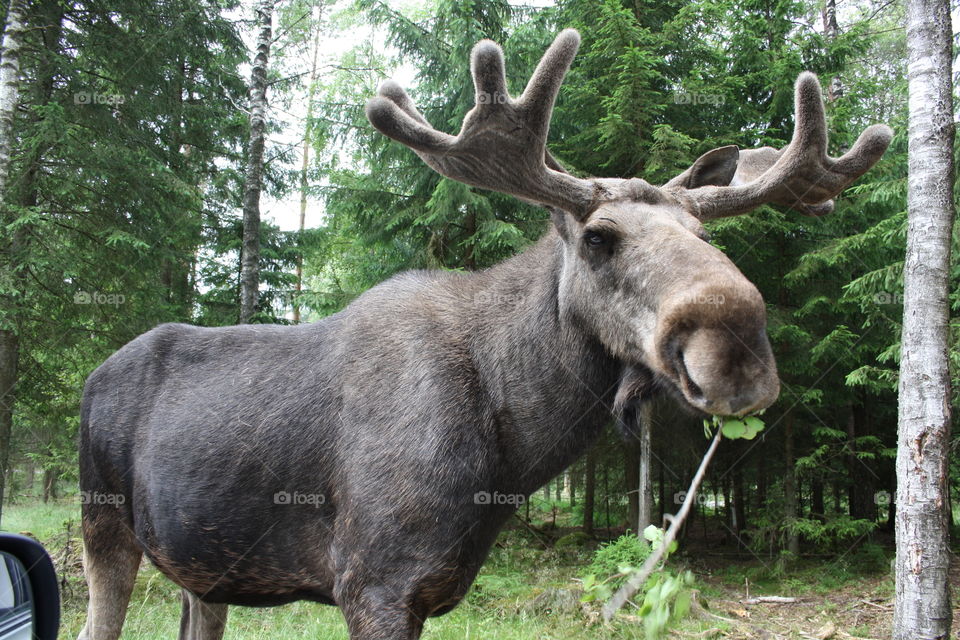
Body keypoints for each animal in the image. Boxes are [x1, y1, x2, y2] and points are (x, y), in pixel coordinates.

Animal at [77, 29, 891, 640]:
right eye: (598, 237)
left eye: (703, 233)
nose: (737, 347)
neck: (512, 450)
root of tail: (92, 376)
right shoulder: (372, 582)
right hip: (103, 524)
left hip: (203, 565)